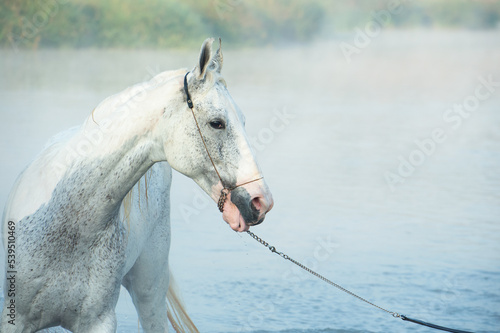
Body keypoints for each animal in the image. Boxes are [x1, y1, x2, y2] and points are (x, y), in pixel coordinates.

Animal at [0, 37, 274, 330]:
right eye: (217, 123)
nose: (261, 201)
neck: (70, 226)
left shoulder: (99, 322)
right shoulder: (14, 319)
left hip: (150, 291)